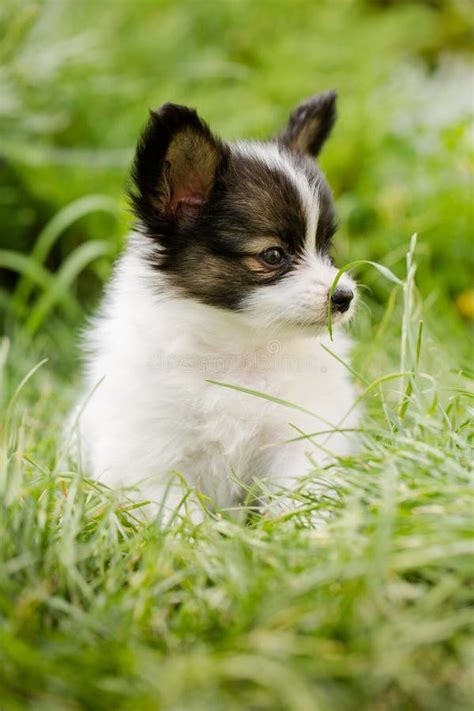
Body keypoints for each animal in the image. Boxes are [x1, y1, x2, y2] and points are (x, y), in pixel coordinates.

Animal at [69, 92, 360, 520]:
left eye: (326, 249)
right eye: (273, 255)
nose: (344, 297)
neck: (241, 348)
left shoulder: (296, 437)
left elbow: (297, 497)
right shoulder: (155, 459)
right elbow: (179, 518)